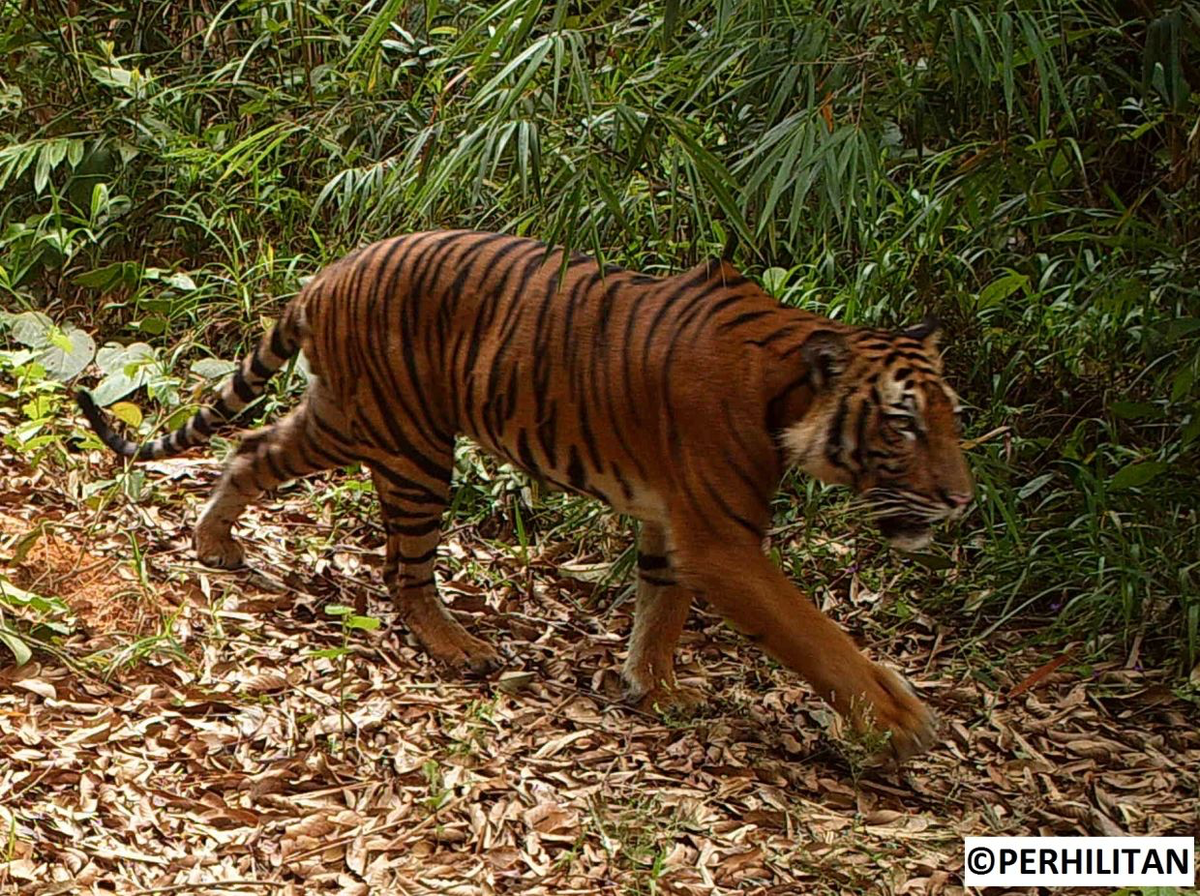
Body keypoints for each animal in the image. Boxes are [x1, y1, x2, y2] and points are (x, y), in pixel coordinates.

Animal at [77, 227, 974, 762]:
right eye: (903, 425)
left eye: (950, 419)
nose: (963, 501)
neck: (788, 396)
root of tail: (326, 274)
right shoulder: (723, 540)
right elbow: (816, 636)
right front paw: (898, 720)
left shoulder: (673, 525)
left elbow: (661, 611)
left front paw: (656, 689)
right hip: (411, 444)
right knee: (404, 569)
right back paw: (458, 646)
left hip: (346, 415)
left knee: (253, 447)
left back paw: (214, 541)